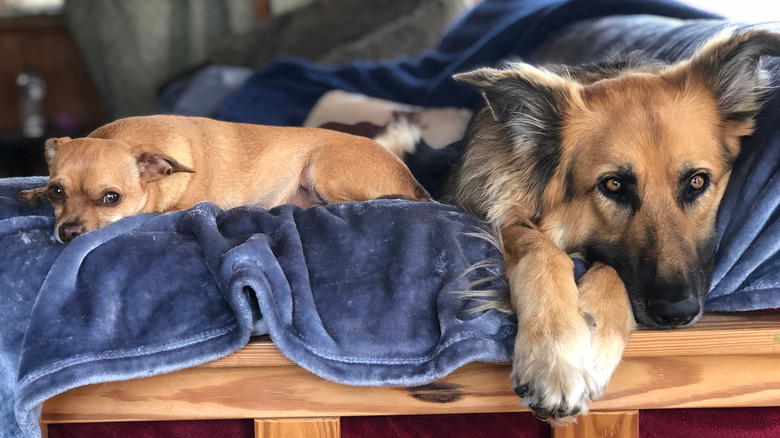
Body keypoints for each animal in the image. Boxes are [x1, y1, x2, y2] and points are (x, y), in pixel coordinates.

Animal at [16, 114, 426, 243]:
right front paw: (32, 192)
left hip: (323, 169)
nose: (68, 233)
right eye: (56, 191)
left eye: (111, 198)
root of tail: (415, 184)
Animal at [442, 30, 780, 420]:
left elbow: (609, 268)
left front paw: (595, 338)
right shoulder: (505, 215)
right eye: (614, 185)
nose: (677, 314)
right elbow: (541, 250)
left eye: (697, 182)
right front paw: (556, 351)